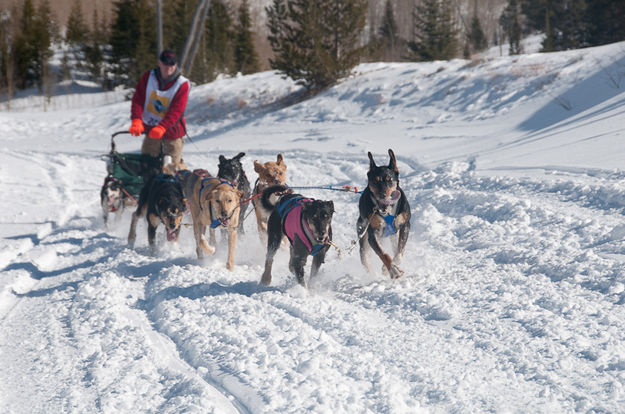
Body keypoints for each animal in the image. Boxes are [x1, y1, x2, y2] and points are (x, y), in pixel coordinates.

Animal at [356, 149, 410, 278]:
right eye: (375, 181)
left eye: (389, 179)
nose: (382, 195)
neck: (387, 212)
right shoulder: (372, 234)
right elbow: (383, 254)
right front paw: (393, 270)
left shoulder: (405, 225)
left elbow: (399, 252)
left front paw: (389, 268)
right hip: (363, 237)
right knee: (365, 258)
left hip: (394, 235)